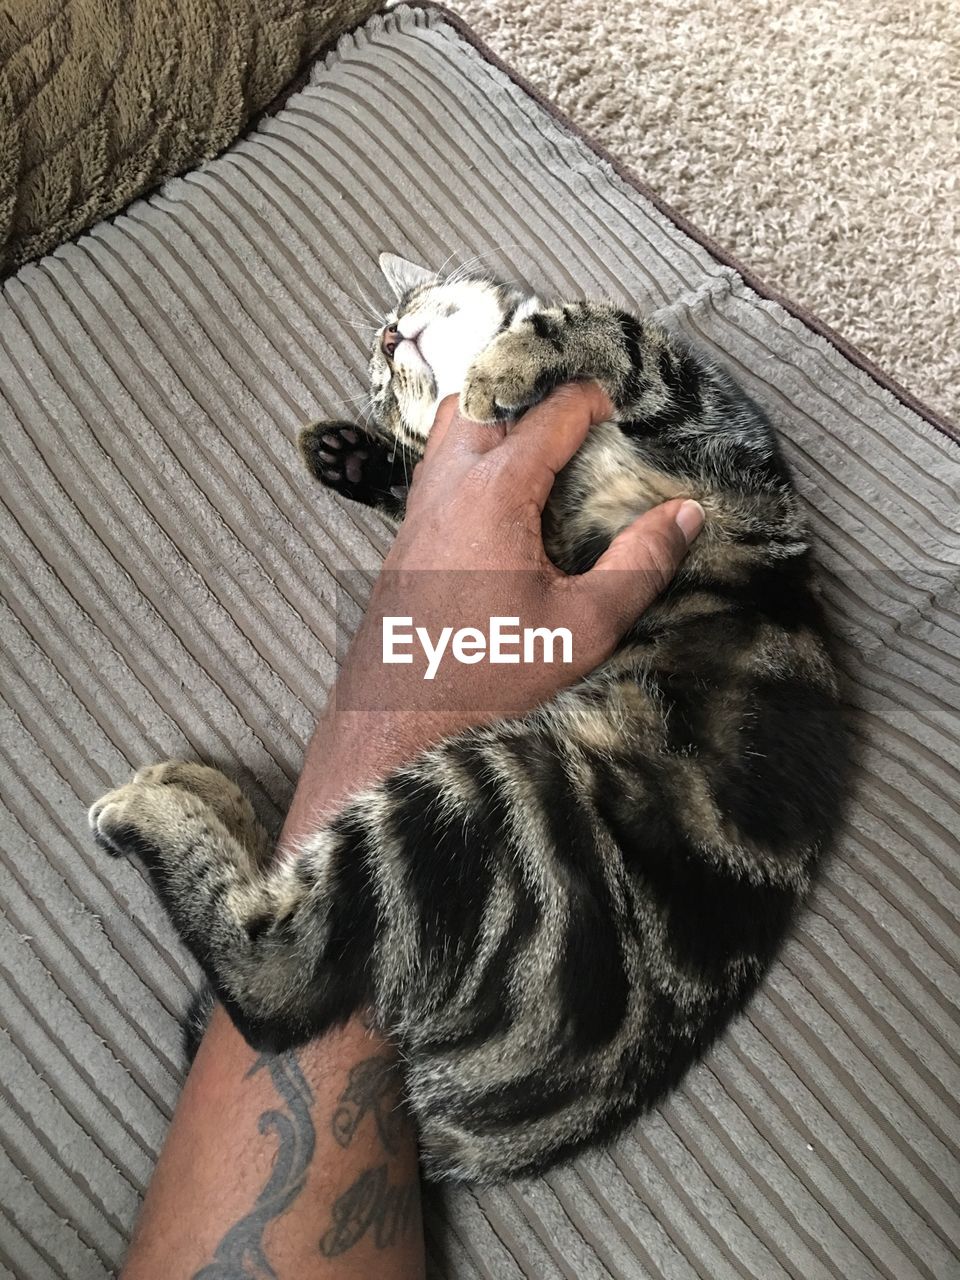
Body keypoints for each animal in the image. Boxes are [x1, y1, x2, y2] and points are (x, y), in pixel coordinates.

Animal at [90, 254, 849, 1182]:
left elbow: (613, 331)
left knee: (280, 976)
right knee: (277, 980)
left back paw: (184, 799)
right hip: (482, 798)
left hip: (484, 801)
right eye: (379, 381)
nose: (389, 336)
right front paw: (354, 455)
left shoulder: (715, 436)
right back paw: (184, 799)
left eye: (402, 316)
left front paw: (500, 369)